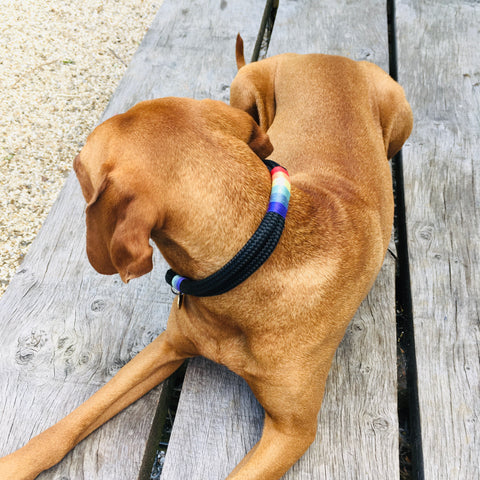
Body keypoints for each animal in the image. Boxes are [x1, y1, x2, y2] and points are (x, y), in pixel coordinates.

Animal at [0, 37, 412, 480]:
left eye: (78, 167)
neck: (254, 256)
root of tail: (330, 57)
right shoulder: (167, 346)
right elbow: (72, 421)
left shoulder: (292, 431)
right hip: (244, 87)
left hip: (399, 112)